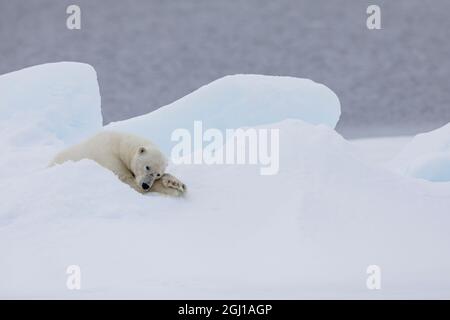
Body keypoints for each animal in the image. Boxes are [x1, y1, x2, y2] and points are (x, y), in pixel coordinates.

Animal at [51, 130, 185, 195]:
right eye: (147, 167)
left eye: (158, 174)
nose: (146, 185)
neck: (119, 144)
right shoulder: (108, 157)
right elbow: (127, 180)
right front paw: (172, 189)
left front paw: (175, 183)